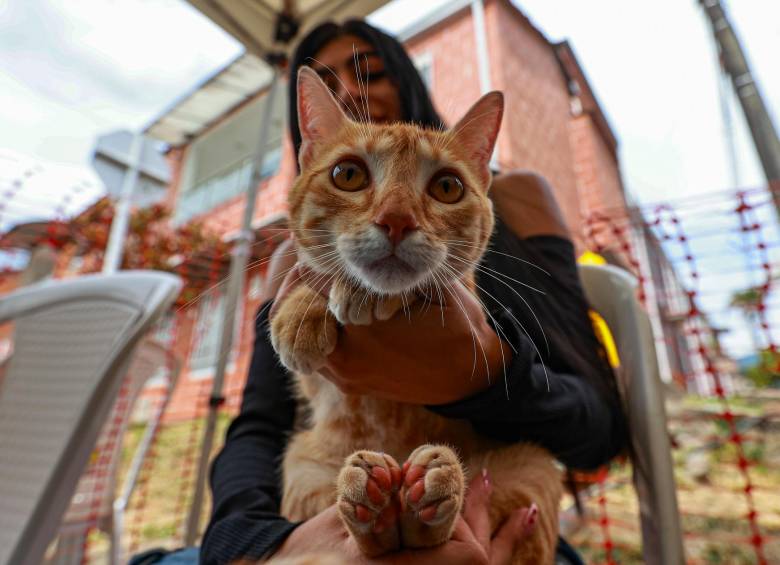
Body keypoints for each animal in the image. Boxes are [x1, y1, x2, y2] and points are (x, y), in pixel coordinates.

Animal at [270, 68, 560, 560]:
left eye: (447, 187)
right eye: (348, 175)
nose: (397, 219)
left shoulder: (467, 296)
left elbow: (433, 279)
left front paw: (367, 294)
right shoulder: (312, 383)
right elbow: (311, 272)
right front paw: (300, 314)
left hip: (531, 464)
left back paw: (425, 501)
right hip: (302, 466)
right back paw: (376, 509)